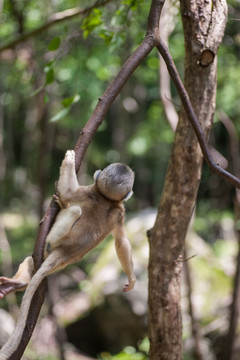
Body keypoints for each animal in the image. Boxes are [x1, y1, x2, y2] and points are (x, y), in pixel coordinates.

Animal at [0, 150, 135, 360]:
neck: (106, 199)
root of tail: (63, 252)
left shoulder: (85, 191)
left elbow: (69, 191)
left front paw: (70, 159)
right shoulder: (120, 212)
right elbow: (121, 242)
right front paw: (132, 278)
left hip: (53, 240)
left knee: (74, 209)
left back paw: (63, 204)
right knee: (32, 261)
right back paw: (18, 283)